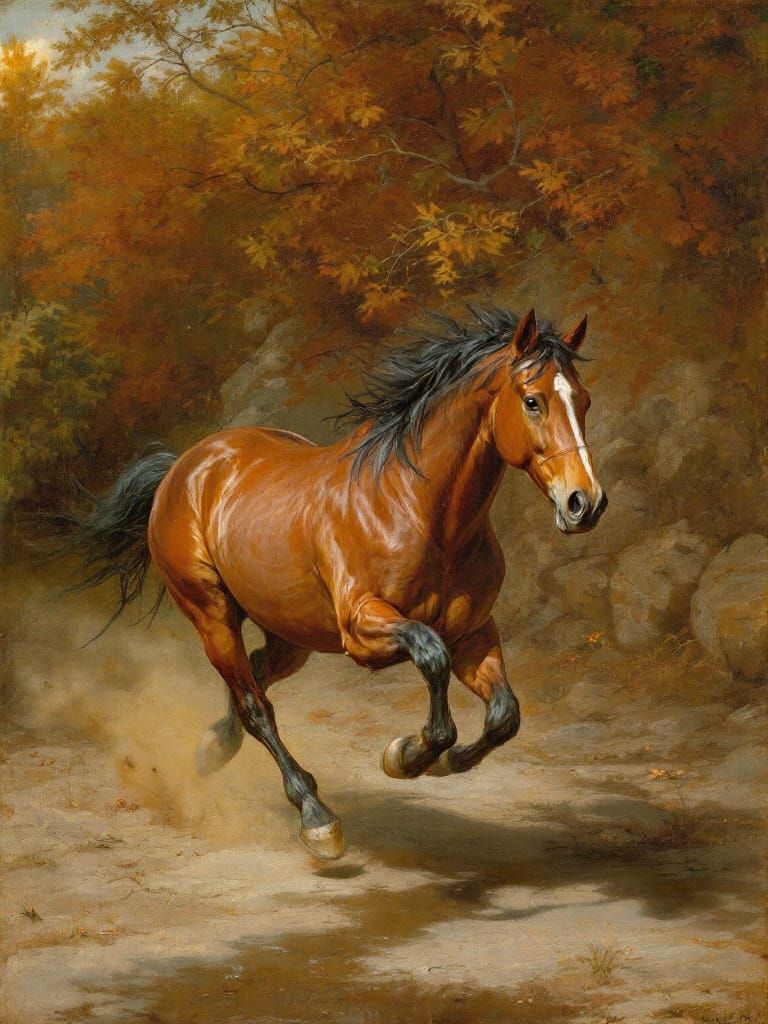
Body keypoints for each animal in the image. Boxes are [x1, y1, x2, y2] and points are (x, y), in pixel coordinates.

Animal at [66, 305, 606, 860]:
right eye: (532, 401)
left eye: (584, 400)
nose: (584, 503)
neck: (416, 507)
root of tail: (184, 466)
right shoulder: (364, 629)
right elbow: (431, 657)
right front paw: (407, 755)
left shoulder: (474, 632)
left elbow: (505, 714)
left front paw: (442, 761)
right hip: (212, 616)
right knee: (257, 707)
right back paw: (315, 816)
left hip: (292, 633)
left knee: (255, 674)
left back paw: (214, 747)